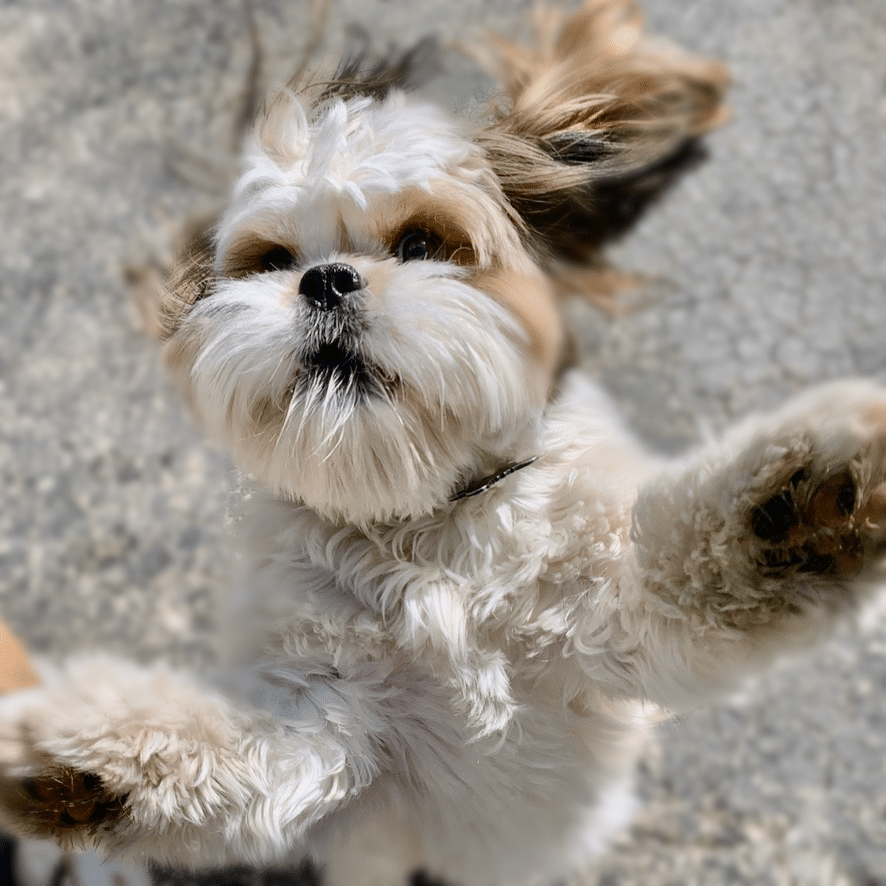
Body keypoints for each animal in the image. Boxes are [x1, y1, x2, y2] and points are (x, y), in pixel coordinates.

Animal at [1, 1, 886, 886]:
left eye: (423, 244)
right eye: (272, 260)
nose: (325, 278)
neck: (425, 527)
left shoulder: (611, 622)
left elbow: (693, 570)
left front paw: (806, 497)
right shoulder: (327, 714)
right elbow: (237, 748)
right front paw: (71, 752)